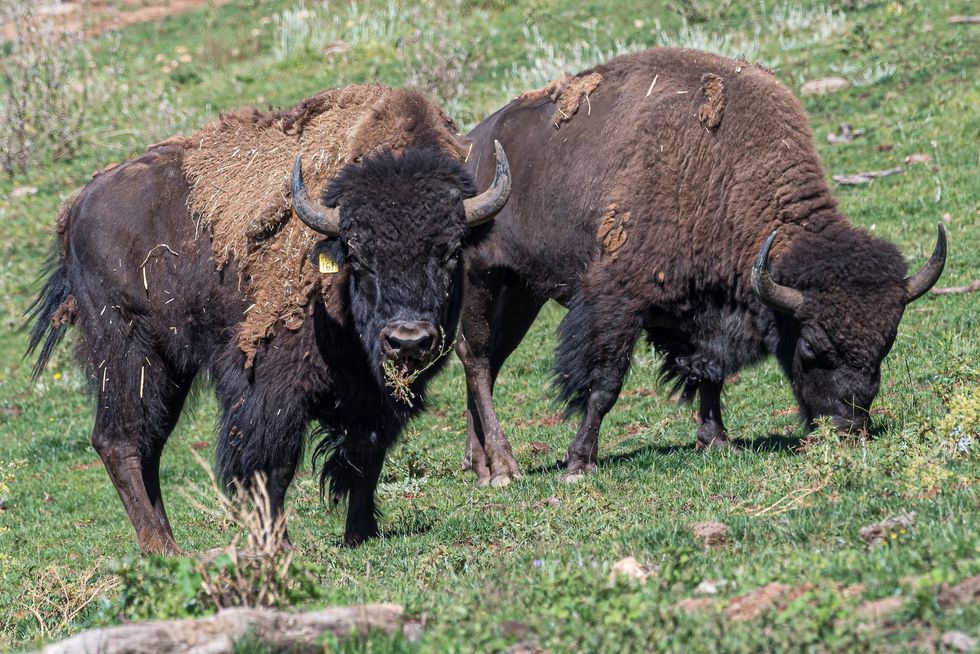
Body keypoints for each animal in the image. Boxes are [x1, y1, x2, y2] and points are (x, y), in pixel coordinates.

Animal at [27, 86, 511, 552]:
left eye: (451, 251)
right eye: (357, 255)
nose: (408, 339)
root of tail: (76, 208)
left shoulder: (374, 400)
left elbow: (366, 455)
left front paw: (361, 533)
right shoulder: (270, 387)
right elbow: (272, 465)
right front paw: (280, 544)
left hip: (170, 370)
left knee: (150, 445)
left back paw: (169, 542)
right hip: (126, 352)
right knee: (119, 441)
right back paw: (160, 546)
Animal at [457, 48, 946, 485]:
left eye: (885, 346)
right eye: (811, 347)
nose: (847, 430)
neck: (722, 171)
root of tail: (473, 147)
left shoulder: (704, 308)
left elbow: (710, 371)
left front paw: (717, 440)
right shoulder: (619, 298)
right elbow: (605, 383)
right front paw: (580, 463)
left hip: (523, 291)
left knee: (492, 358)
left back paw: (479, 465)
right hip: (481, 274)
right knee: (476, 356)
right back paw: (503, 469)